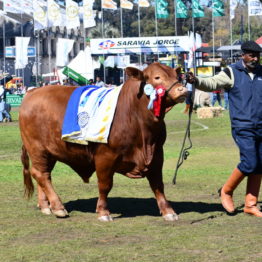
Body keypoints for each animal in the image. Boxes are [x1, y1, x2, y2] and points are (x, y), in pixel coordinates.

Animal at [19, 63, 187, 221]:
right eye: (157, 77)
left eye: (176, 76)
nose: (183, 90)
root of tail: (32, 92)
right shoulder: (105, 156)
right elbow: (105, 185)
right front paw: (103, 212)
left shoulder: (157, 154)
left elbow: (157, 184)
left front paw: (168, 211)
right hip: (37, 148)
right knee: (41, 174)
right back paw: (58, 207)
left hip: (50, 152)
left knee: (43, 173)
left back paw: (45, 207)